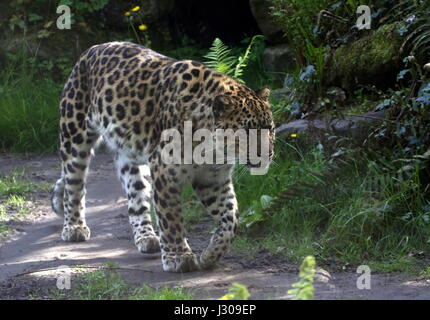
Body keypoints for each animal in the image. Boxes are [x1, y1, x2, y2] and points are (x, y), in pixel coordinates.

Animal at [49, 42, 272, 272]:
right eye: (246, 132)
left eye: (270, 128)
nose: (268, 154)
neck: (213, 149)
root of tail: (91, 49)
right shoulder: (165, 171)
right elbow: (170, 217)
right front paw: (178, 257)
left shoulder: (212, 179)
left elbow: (231, 218)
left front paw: (210, 255)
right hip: (74, 137)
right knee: (74, 185)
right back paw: (74, 227)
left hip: (132, 155)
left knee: (135, 199)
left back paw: (146, 237)